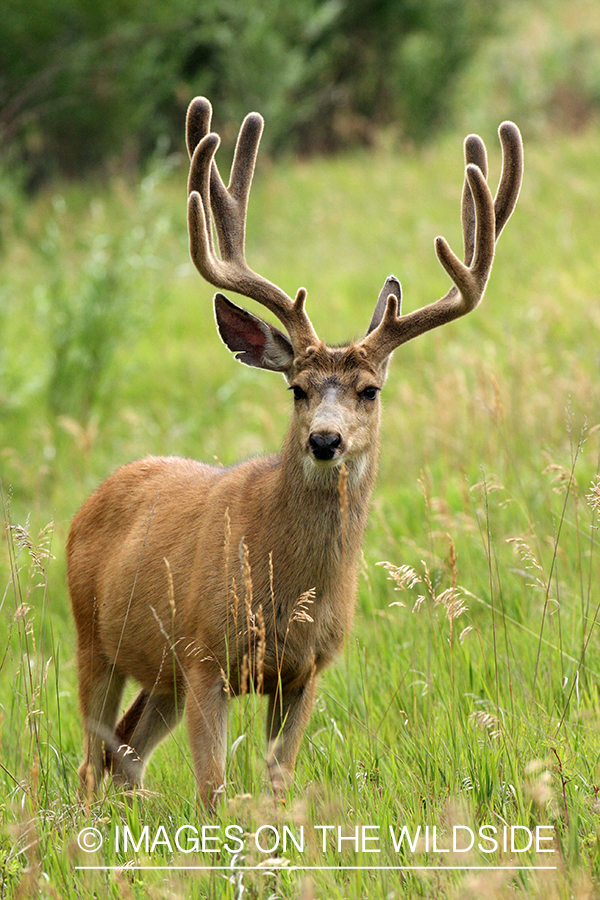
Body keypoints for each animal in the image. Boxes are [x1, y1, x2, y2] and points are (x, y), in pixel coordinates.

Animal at [68, 96, 524, 808]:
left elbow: (276, 787)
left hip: (160, 673)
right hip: (94, 636)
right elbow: (215, 791)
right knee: (93, 761)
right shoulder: (206, 655)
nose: (325, 439)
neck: (285, 583)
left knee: (126, 755)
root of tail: (96, 495)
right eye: (297, 388)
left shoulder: (306, 670)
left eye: (370, 389)